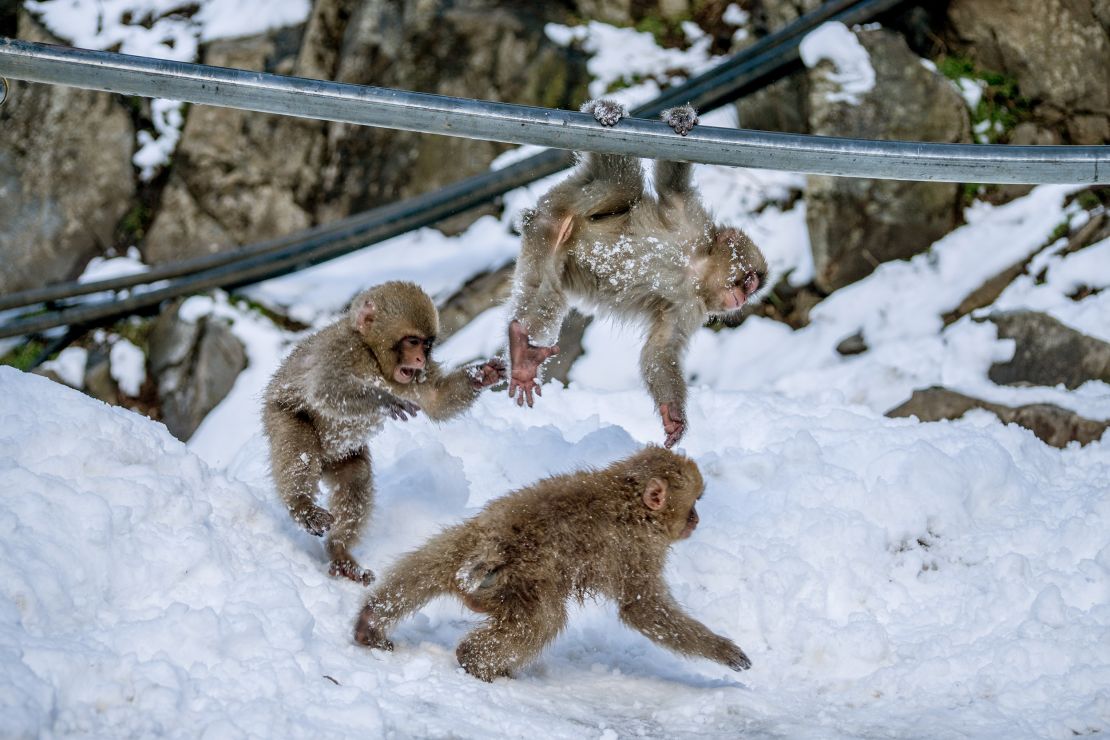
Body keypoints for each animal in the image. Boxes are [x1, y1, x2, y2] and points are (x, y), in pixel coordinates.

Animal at [262, 280, 506, 585]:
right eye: (412, 342)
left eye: (427, 345)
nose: (419, 358)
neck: (375, 360)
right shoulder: (343, 348)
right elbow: (324, 387)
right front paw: (384, 400)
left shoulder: (417, 376)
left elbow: (436, 400)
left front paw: (483, 375)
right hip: (280, 415)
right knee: (299, 449)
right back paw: (301, 505)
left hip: (340, 455)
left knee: (356, 477)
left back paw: (339, 551)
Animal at [353, 445, 751, 681]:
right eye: (692, 504)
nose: (696, 519)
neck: (630, 502)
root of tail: (492, 545)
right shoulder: (636, 550)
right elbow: (643, 609)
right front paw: (722, 650)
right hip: (522, 580)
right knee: (542, 621)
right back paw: (474, 661)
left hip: (466, 543)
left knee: (426, 566)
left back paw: (371, 622)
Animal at [507, 100, 769, 448]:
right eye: (749, 281)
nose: (742, 300)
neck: (696, 272)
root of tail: (542, 218)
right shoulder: (693, 222)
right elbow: (672, 183)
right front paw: (681, 118)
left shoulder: (690, 307)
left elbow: (660, 349)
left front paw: (673, 416)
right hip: (565, 199)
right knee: (622, 182)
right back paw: (605, 110)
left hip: (545, 246)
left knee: (545, 294)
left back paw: (522, 355)